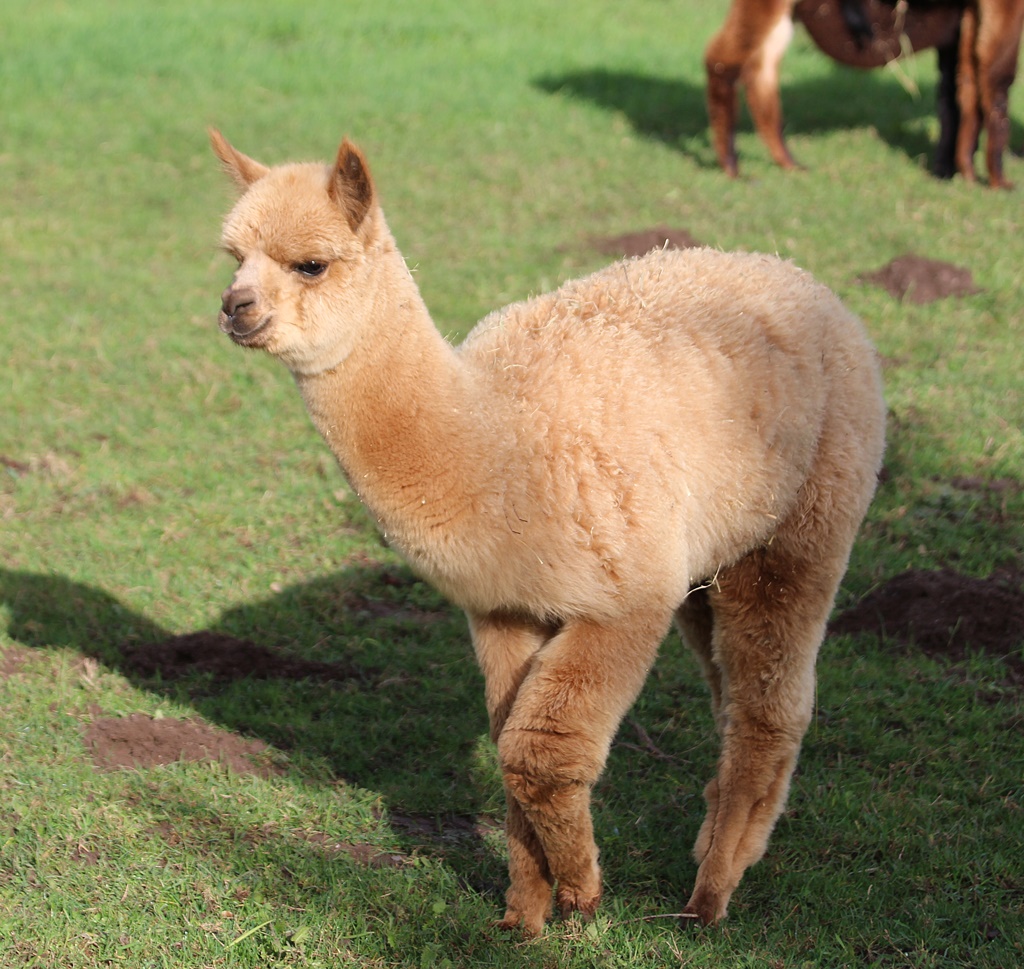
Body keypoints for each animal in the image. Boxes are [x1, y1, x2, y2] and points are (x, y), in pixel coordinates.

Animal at [210, 129, 886, 936]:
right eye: (231, 256)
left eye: (310, 263)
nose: (235, 308)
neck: (495, 442)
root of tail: (803, 278)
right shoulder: (506, 605)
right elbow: (508, 744)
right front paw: (523, 915)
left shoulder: (626, 594)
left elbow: (541, 752)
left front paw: (582, 894)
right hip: (708, 559)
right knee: (735, 693)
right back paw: (724, 844)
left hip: (804, 523)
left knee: (768, 707)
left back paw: (709, 896)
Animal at [706, 0, 1024, 187]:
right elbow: (998, 81)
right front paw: (999, 181)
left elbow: (967, 85)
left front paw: (966, 172)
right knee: (722, 61)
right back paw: (734, 168)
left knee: (760, 72)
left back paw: (788, 163)